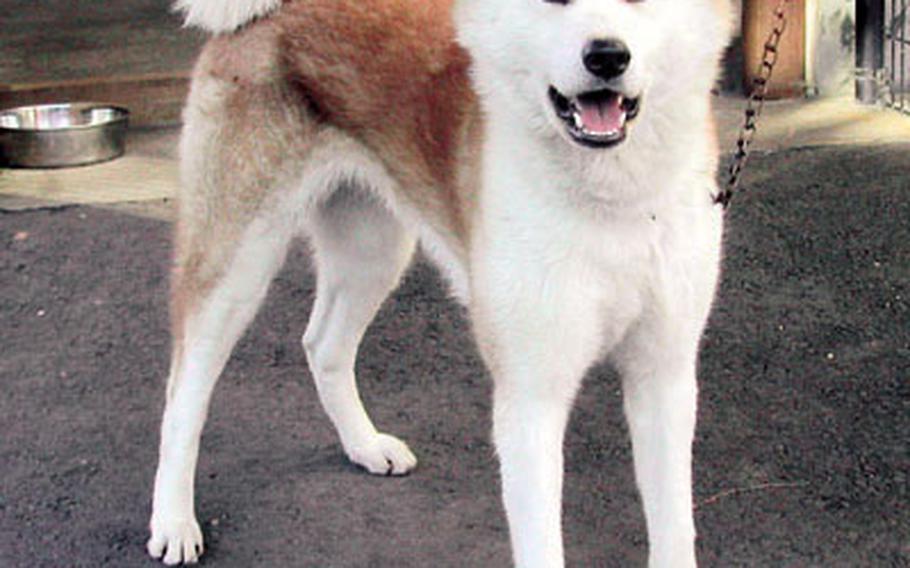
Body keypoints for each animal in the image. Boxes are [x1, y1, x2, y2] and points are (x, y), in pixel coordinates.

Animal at [148, 1, 732, 564]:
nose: (606, 56)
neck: (614, 203)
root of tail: (269, 12)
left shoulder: (664, 377)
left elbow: (674, 531)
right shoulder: (531, 396)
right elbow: (542, 544)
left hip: (373, 252)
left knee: (322, 345)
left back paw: (364, 445)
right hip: (236, 266)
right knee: (183, 395)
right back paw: (173, 521)